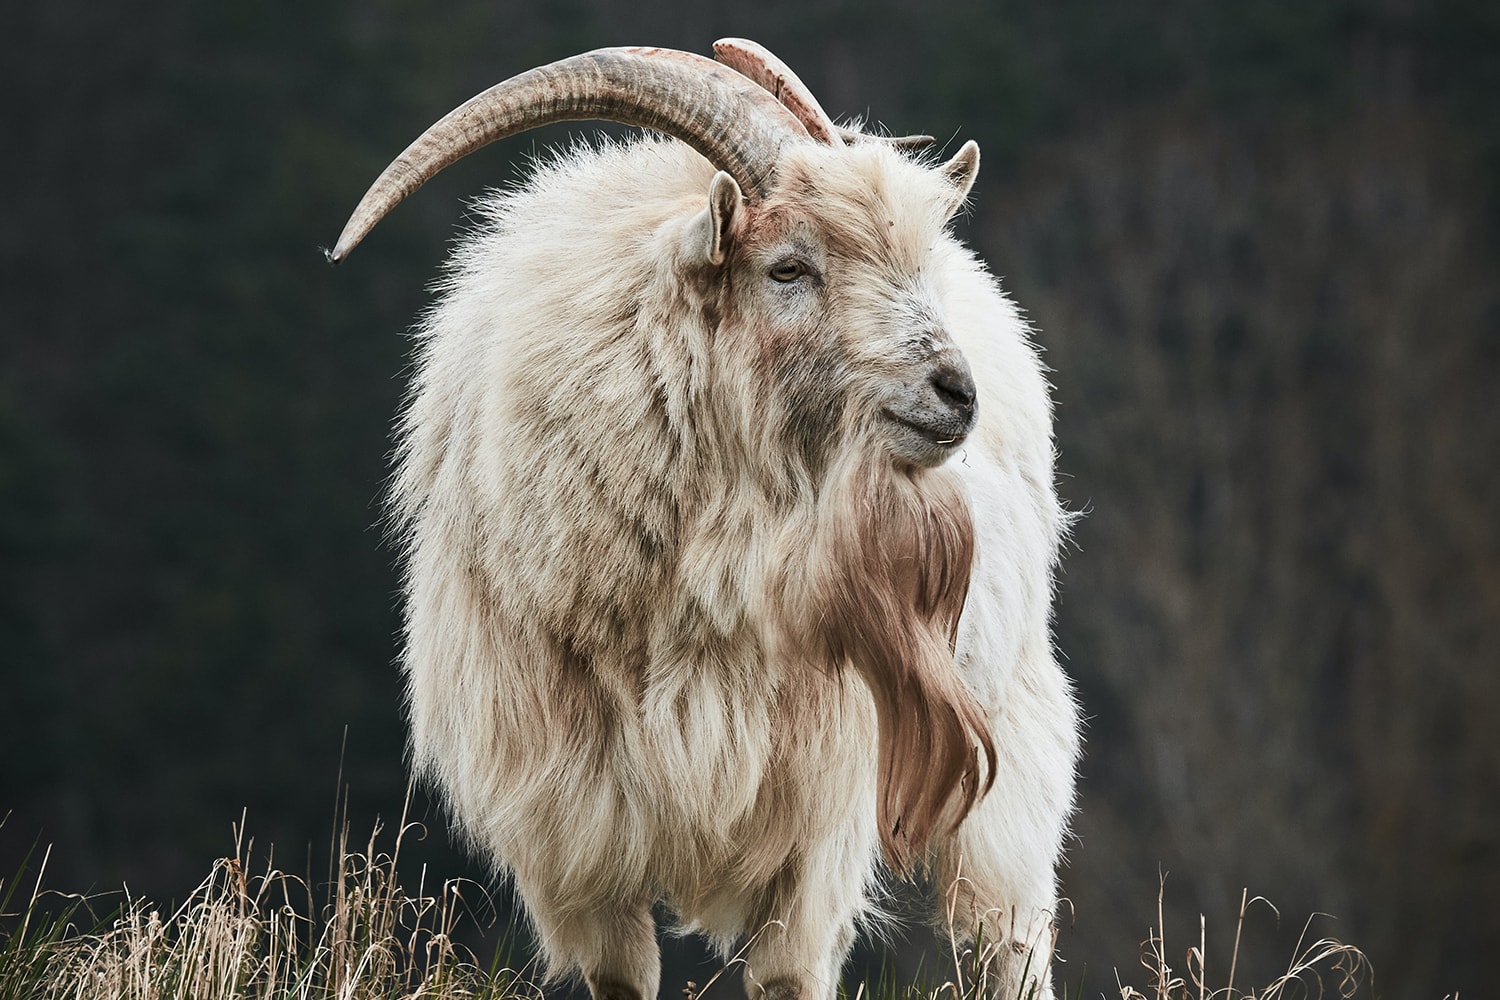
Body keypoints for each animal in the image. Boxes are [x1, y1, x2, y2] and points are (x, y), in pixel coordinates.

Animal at [330, 38, 1080, 1000]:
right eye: (788, 267)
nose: (956, 393)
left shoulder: (815, 820)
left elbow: (791, 975)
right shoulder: (577, 835)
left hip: (1009, 739)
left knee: (1009, 938)